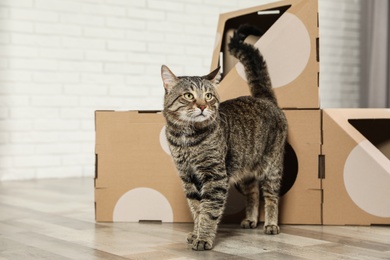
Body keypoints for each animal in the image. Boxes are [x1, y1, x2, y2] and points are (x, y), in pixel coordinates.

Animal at [161, 24, 286, 252]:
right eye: (189, 96)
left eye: (209, 96)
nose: (203, 106)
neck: (186, 138)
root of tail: (264, 99)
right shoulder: (188, 178)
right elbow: (197, 209)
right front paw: (195, 233)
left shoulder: (215, 177)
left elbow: (209, 211)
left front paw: (203, 238)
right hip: (245, 170)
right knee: (253, 193)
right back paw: (251, 219)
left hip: (272, 167)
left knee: (271, 196)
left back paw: (271, 224)